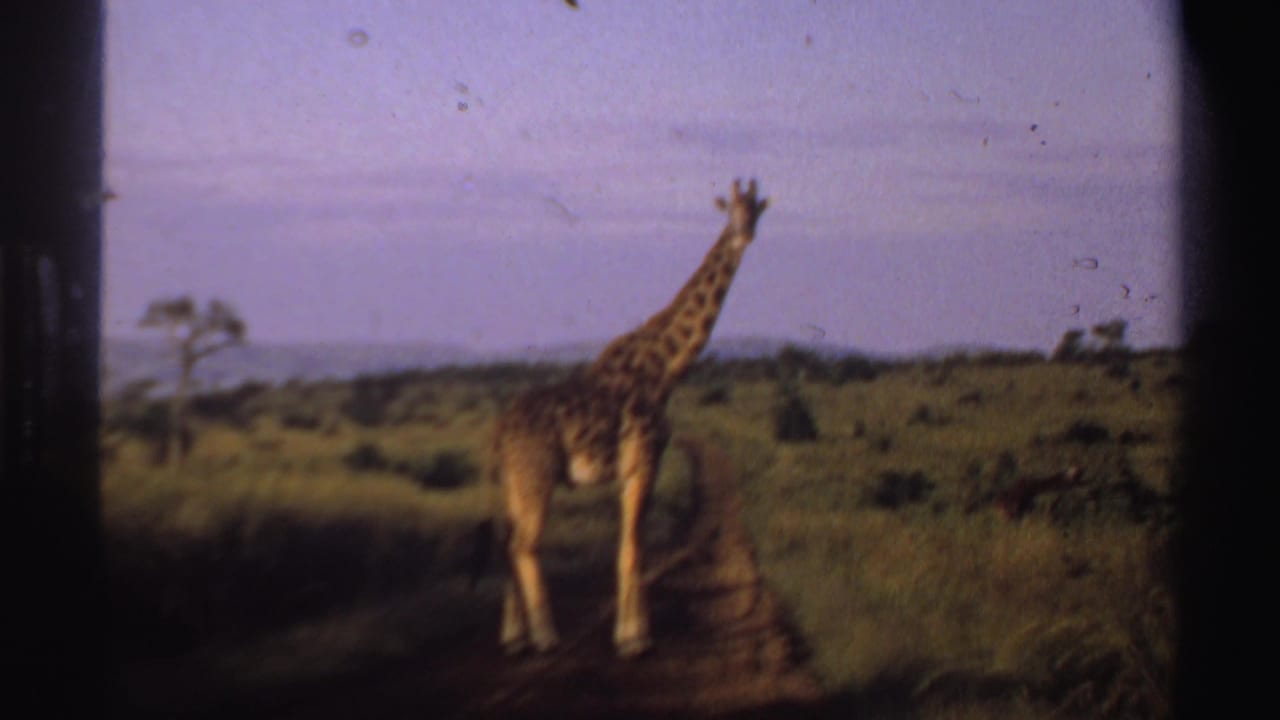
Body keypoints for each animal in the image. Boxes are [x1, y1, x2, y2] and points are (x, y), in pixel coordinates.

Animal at [492, 178, 769, 658]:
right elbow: (633, 549)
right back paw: (545, 637)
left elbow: (628, 547)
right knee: (525, 545)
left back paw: (514, 638)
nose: (744, 235)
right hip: (537, 475)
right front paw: (636, 639)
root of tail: (502, 429)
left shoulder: (632, 470)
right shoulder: (644, 461)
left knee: (510, 544)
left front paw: (628, 634)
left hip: (514, 480)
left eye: (755, 211)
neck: (667, 369)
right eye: (731, 211)